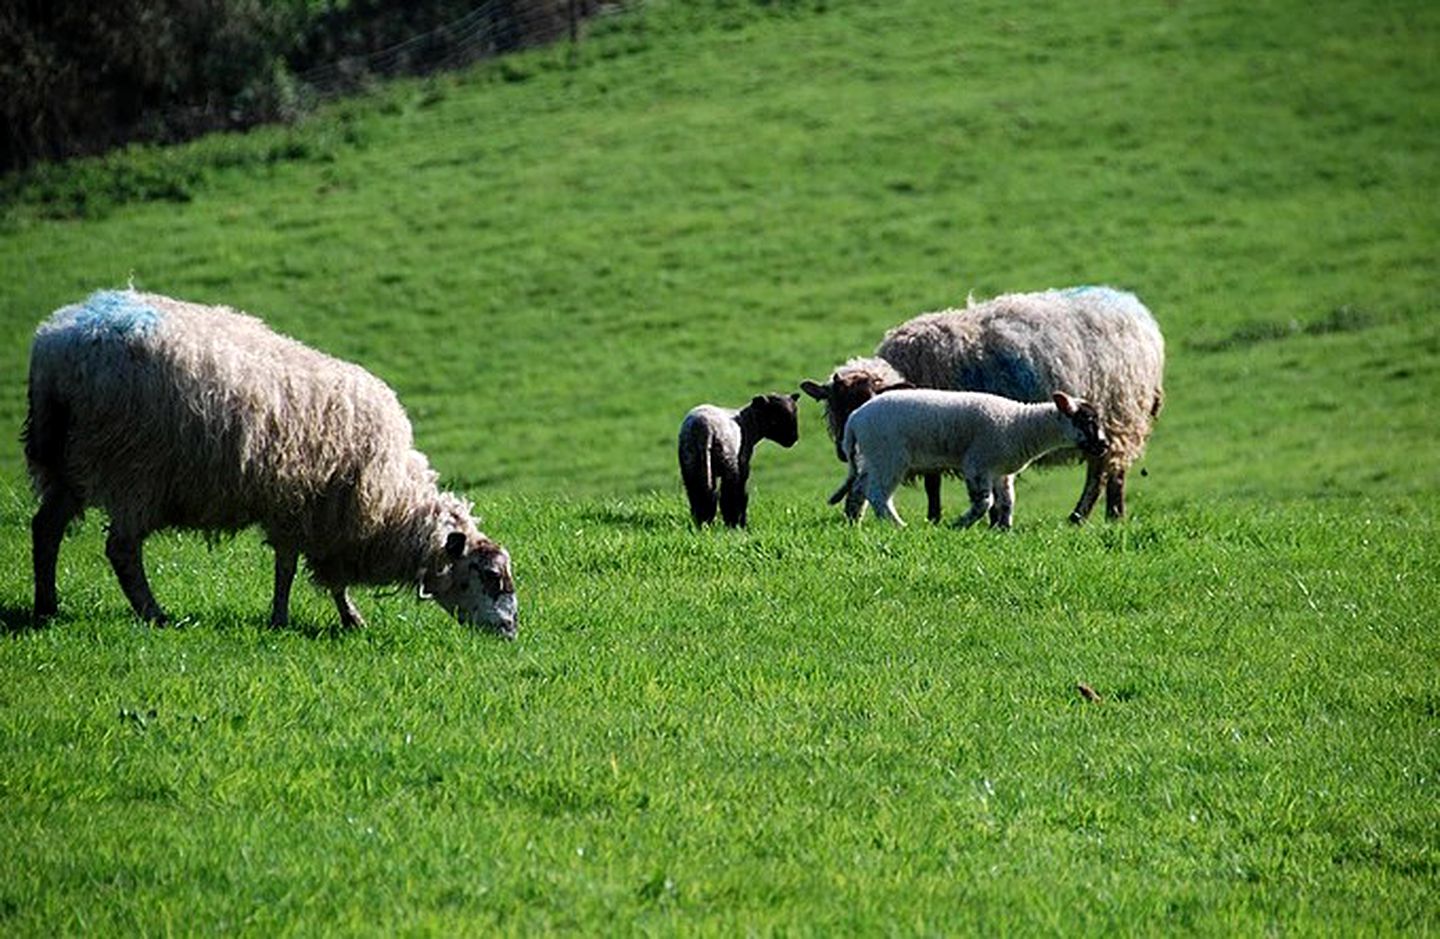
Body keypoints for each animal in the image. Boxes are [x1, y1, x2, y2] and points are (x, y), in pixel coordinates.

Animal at [23, 289, 518, 633]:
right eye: (492, 576)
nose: (512, 631)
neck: (392, 502)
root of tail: (58, 344)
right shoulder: (305, 507)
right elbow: (289, 568)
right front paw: (286, 619)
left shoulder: (321, 519)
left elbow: (320, 574)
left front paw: (347, 618)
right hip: (132, 467)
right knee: (122, 550)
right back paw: (154, 614)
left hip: (66, 462)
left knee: (45, 528)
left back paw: (47, 605)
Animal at [676, 391, 800, 527]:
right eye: (775, 420)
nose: (793, 439)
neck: (747, 423)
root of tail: (704, 429)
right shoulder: (743, 463)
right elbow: (740, 492)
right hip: (728, 460)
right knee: (730, 494)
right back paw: (734, 523)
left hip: (691, 462)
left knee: (699, 492)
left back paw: (703, 522)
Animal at [835, 388, 1111, 527]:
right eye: (1087, 420)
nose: (1104, 445)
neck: (1021, 425)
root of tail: (855, 418)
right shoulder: (977, 465)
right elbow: (985, 502)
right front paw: (959, 525)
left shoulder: (1002, 472)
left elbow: (1007, 501)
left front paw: (1003, 530)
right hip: (889, 456)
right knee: (878, 494)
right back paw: (897, 525)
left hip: (874, 457)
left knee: (859, 488)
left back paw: (852, 521)